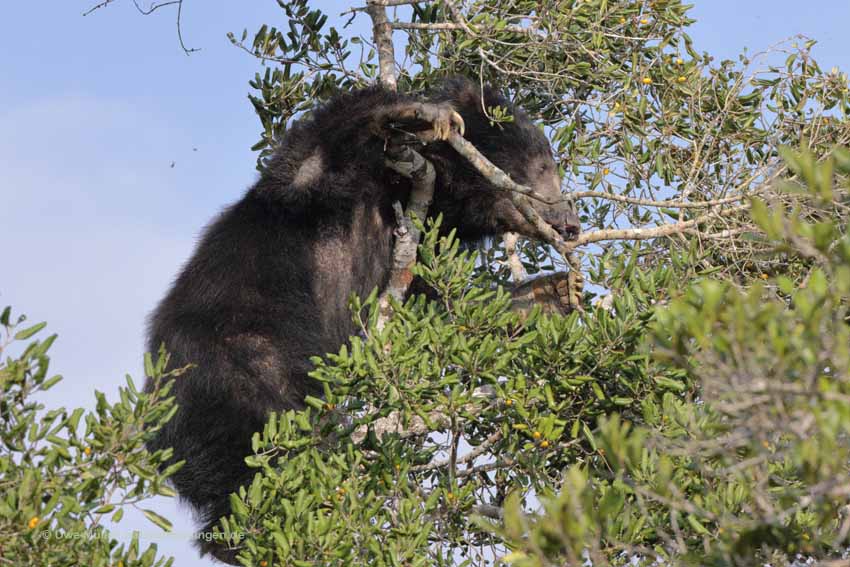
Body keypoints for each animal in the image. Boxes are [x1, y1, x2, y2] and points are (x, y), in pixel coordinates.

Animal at [146, 76, 580, 564]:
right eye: (543, 166)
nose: (570, 222)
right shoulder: (322, 198)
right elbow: (311, 159)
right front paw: (420, 115)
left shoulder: (409, 249)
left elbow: (438, 309)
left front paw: (553, 292)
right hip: (239, 366)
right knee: (265, 455)